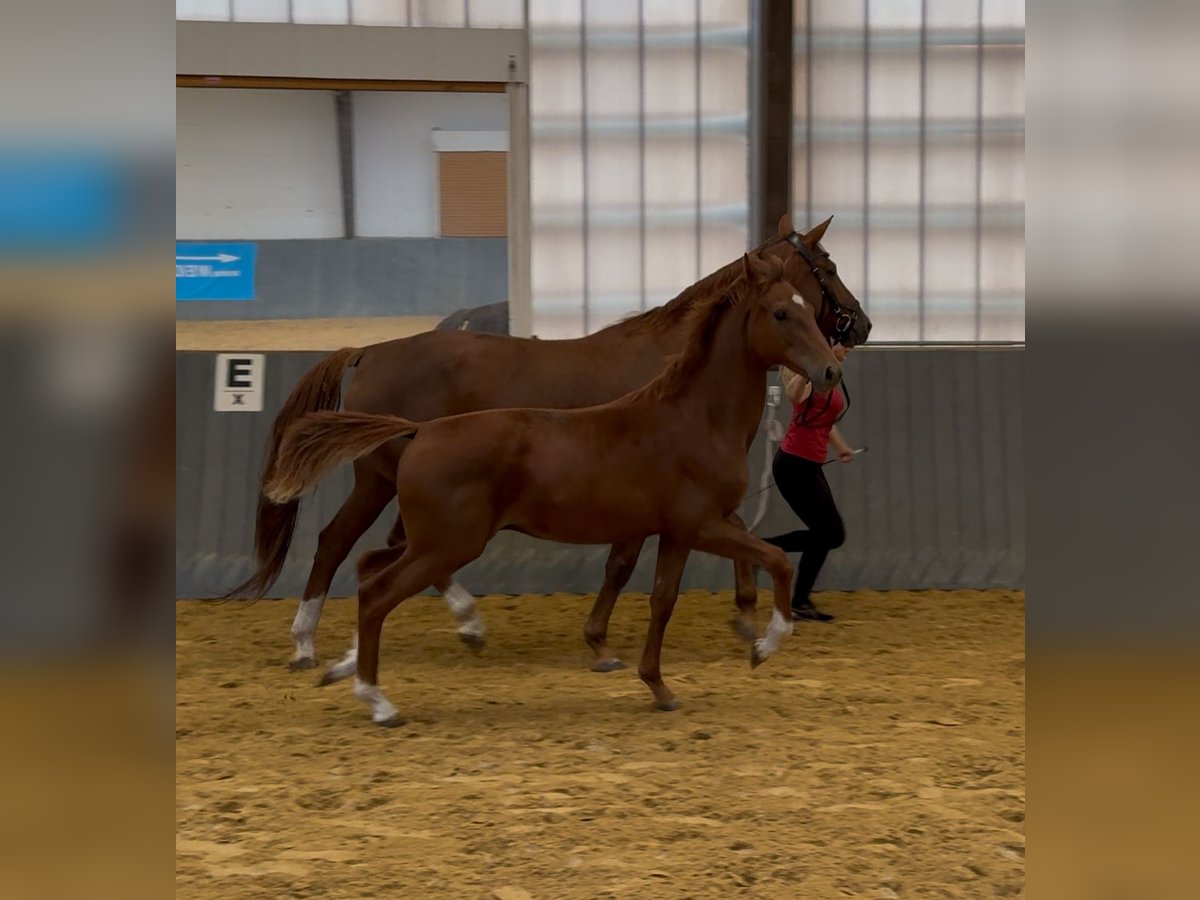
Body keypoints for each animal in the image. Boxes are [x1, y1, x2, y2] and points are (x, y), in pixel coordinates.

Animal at [227, 214, 870, 672]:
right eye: (830, 265)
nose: (860, 325)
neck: (676, 365)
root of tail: (370, 351)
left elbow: (722, 534)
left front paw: (744, 616)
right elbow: (624, 564)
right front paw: (606, 645)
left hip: (394, 483)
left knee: (379, 547)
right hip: (382, 479)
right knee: (345, 544)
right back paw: (320, 641)